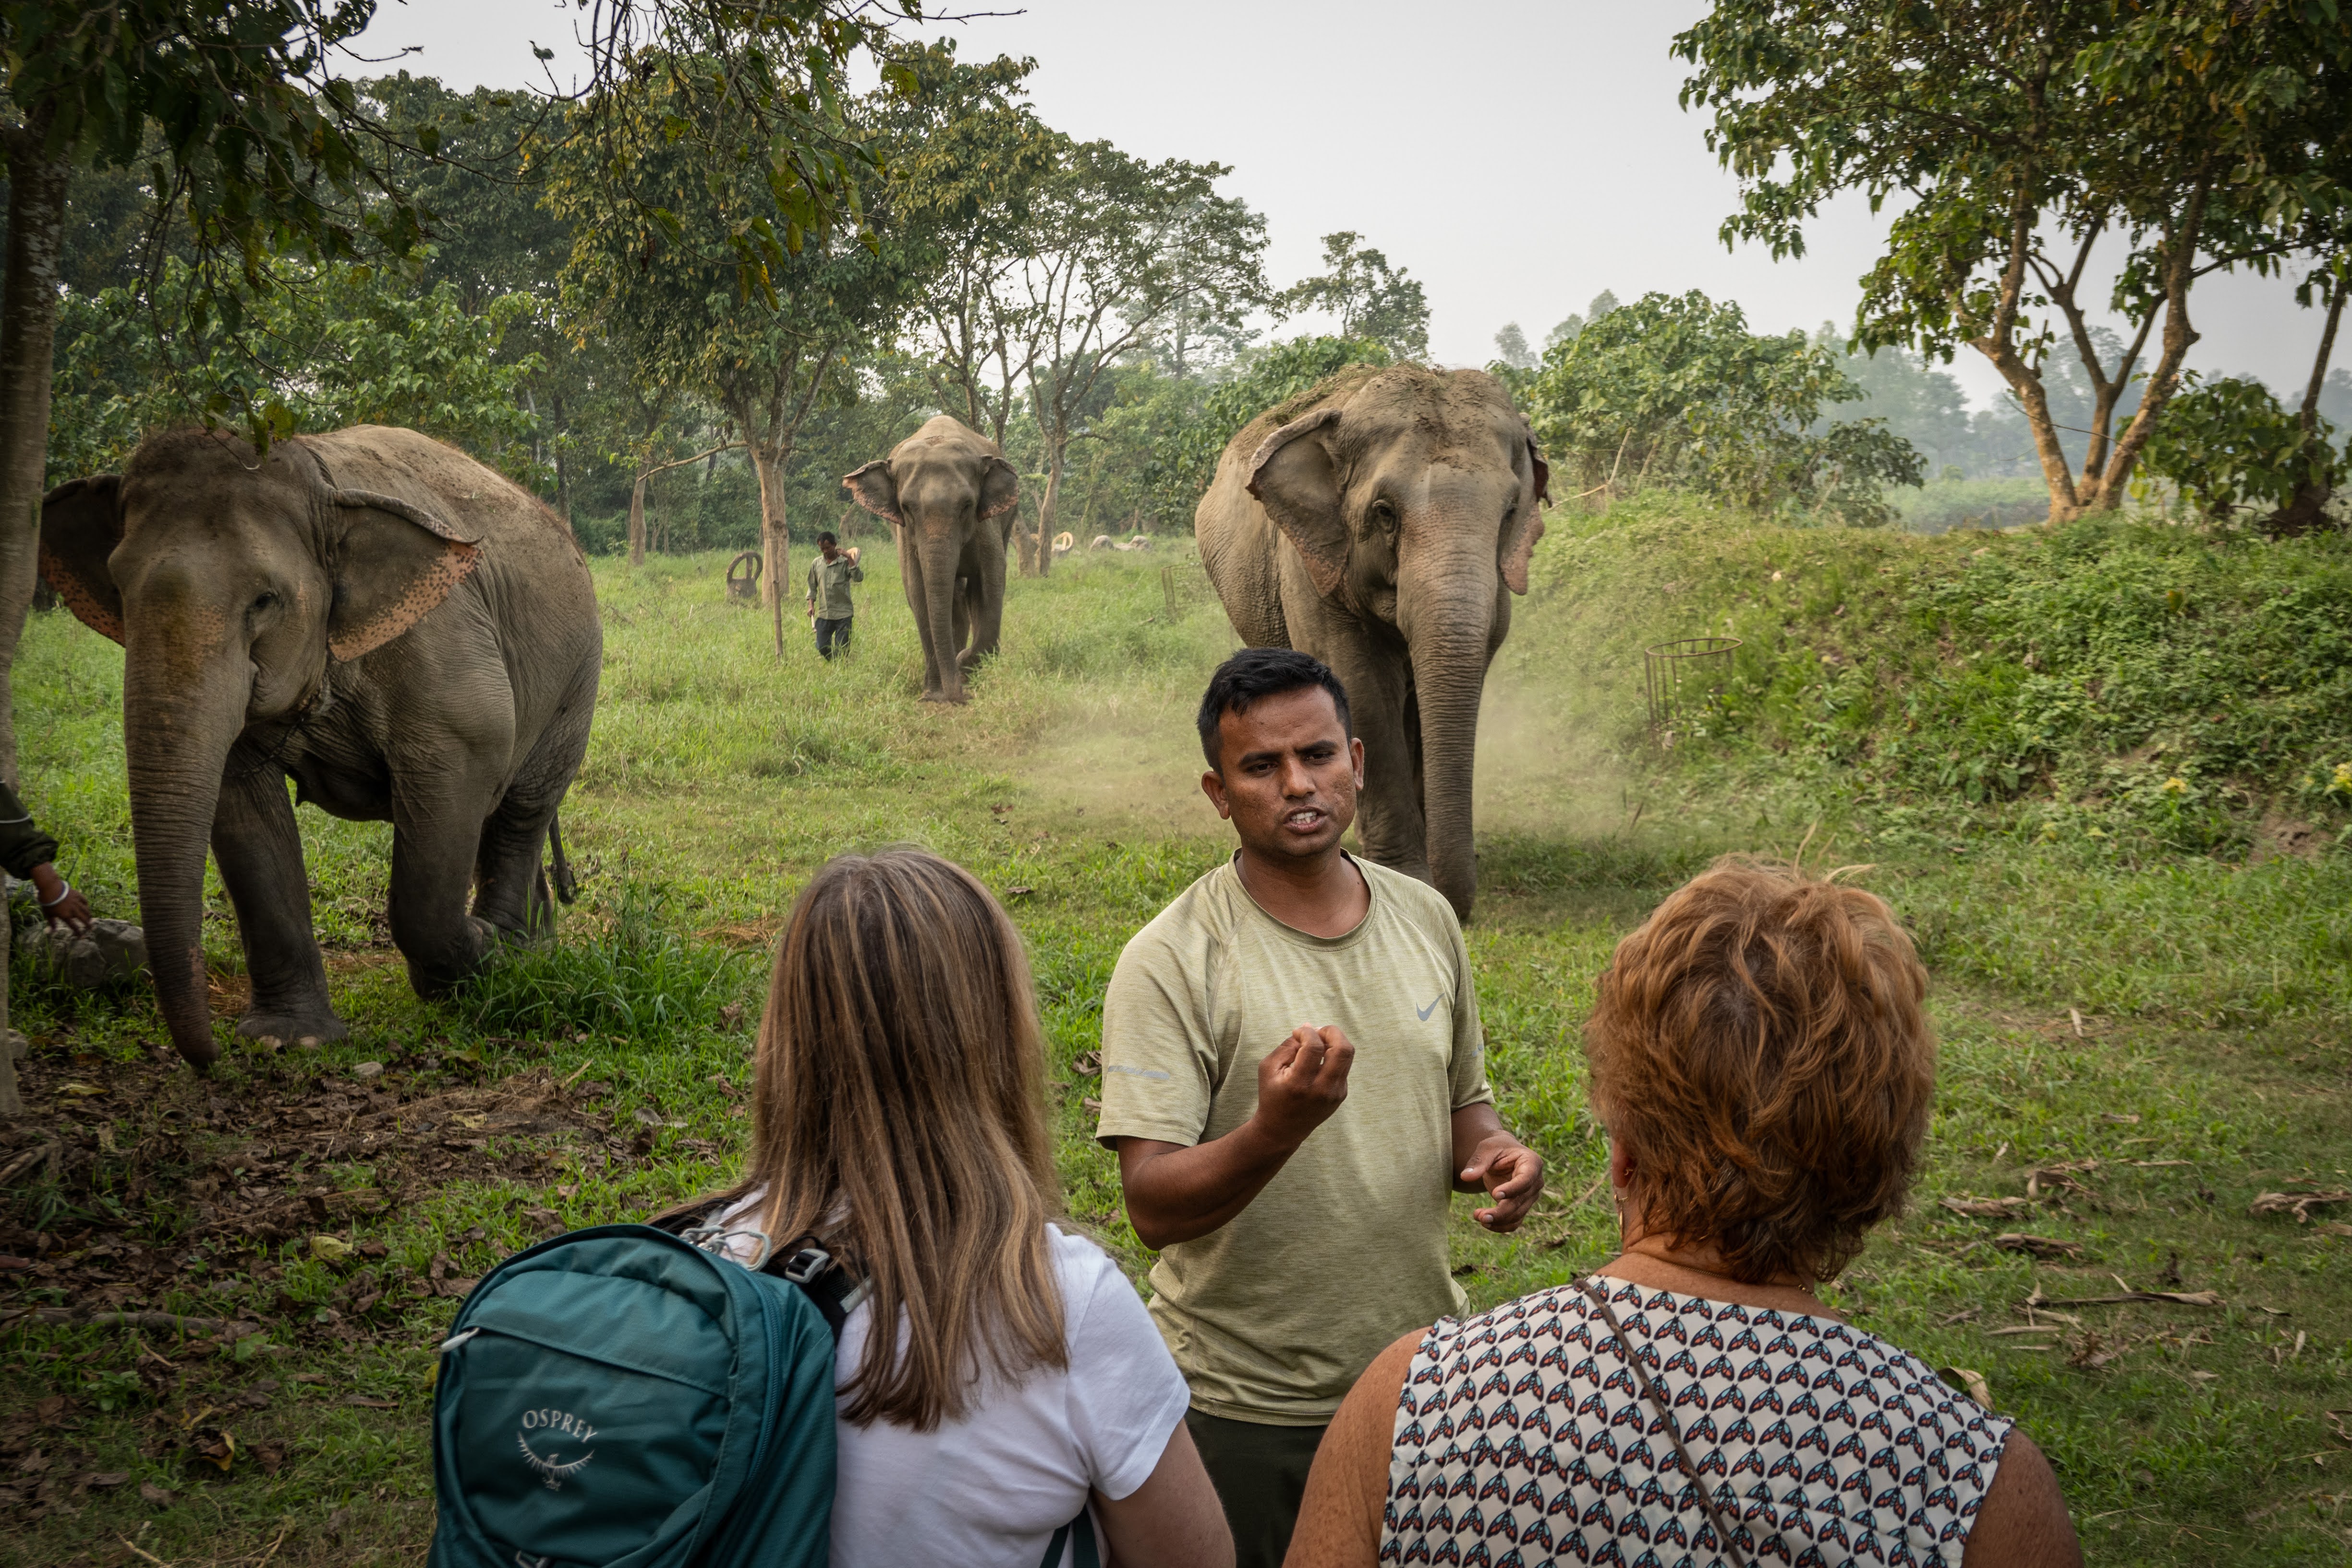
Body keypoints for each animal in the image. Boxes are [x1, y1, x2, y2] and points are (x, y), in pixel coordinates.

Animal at [39, 425, 602, 1068]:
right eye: (118, 588)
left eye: (265, 600)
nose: (208, 1057)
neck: (323, 485)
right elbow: (244, 817)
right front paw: (288, 1038)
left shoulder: (445, 650)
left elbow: (466, 764)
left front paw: (473, 961)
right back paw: (533, 950)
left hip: (577, 680)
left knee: (521, 808)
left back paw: (512, 954)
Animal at [843, 415, 1017, 704]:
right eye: (906, 508)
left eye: (968, 505)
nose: (959, 698)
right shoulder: (906, 538)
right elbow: (919, 592)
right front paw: (935, 695)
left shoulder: (987, 529)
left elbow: (990, 583)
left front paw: (966, 669)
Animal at [1196, 365, 1548, 922]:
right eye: (1384, 513)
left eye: (1511, 510)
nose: (1455, 905)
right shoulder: (1309, 564)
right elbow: (1360, 689)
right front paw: (1408, 874)